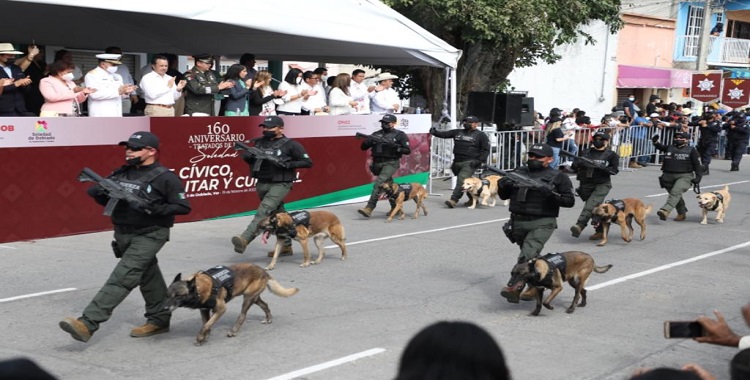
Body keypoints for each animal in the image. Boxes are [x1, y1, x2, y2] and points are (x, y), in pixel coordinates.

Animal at [165, 262, 300, 346]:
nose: (165, 308)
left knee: (242, 315)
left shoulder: (221, 309)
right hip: (254, 297)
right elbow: (206, 324)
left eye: (178, 296)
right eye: (168, 295)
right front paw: (204, 337)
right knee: (265, 305)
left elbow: (206, 325)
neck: (199, 288)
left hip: (248, 298)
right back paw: (268, 318)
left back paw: (234, 330)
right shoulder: (204, 310)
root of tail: (263, 271)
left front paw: (200, 337)